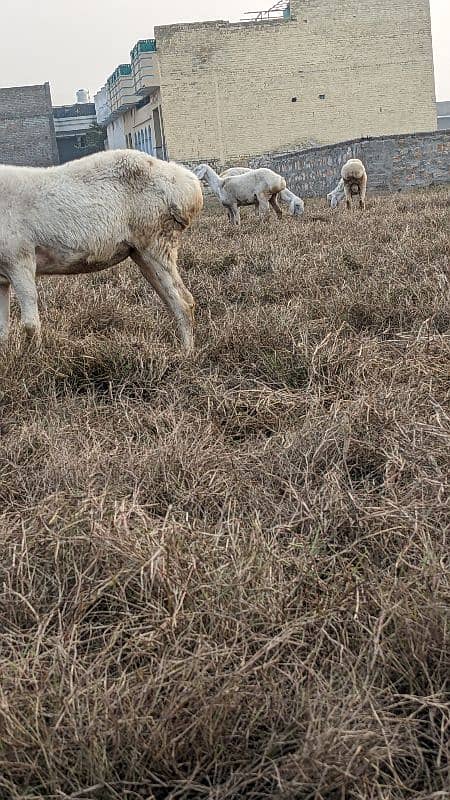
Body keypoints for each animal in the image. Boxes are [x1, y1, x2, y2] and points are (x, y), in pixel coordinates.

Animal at [0, 150, 202, 350]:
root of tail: (191, 187)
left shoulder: (19, 258)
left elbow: (30, 325)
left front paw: (34, 357)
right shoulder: (1, 277)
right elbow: (2, 331)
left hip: (157, 240)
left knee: (183, 302)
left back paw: (185, 353)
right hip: (141, 252)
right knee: (171, 300)